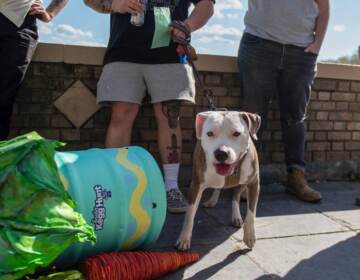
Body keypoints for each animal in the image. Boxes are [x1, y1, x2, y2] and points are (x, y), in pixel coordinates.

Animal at [176, 110, 260, 250]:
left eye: (236, 133)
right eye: (210, 133)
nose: (221, 153)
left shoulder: (254, 183)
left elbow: (251, 213)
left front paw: (249, 236)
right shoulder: (196, 184)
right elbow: (190, 213)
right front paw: (184, 238)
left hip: (242, 183)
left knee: (235, 196)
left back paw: (236, 216)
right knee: (219, 189)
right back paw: (212, 200)